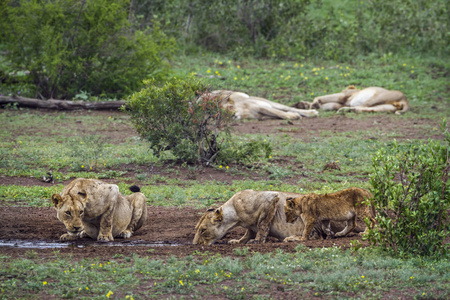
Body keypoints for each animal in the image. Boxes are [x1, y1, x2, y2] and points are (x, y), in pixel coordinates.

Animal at [192, 190, 354, 246]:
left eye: (203, 230)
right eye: (197, 228)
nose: (194, 244)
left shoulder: (270, 199)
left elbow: (263, 225)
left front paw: (257, 241)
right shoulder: (250, 225)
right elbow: (248, 232)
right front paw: (238, 241)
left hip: (308, 213)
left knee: (316, 236)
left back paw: (292, 238)